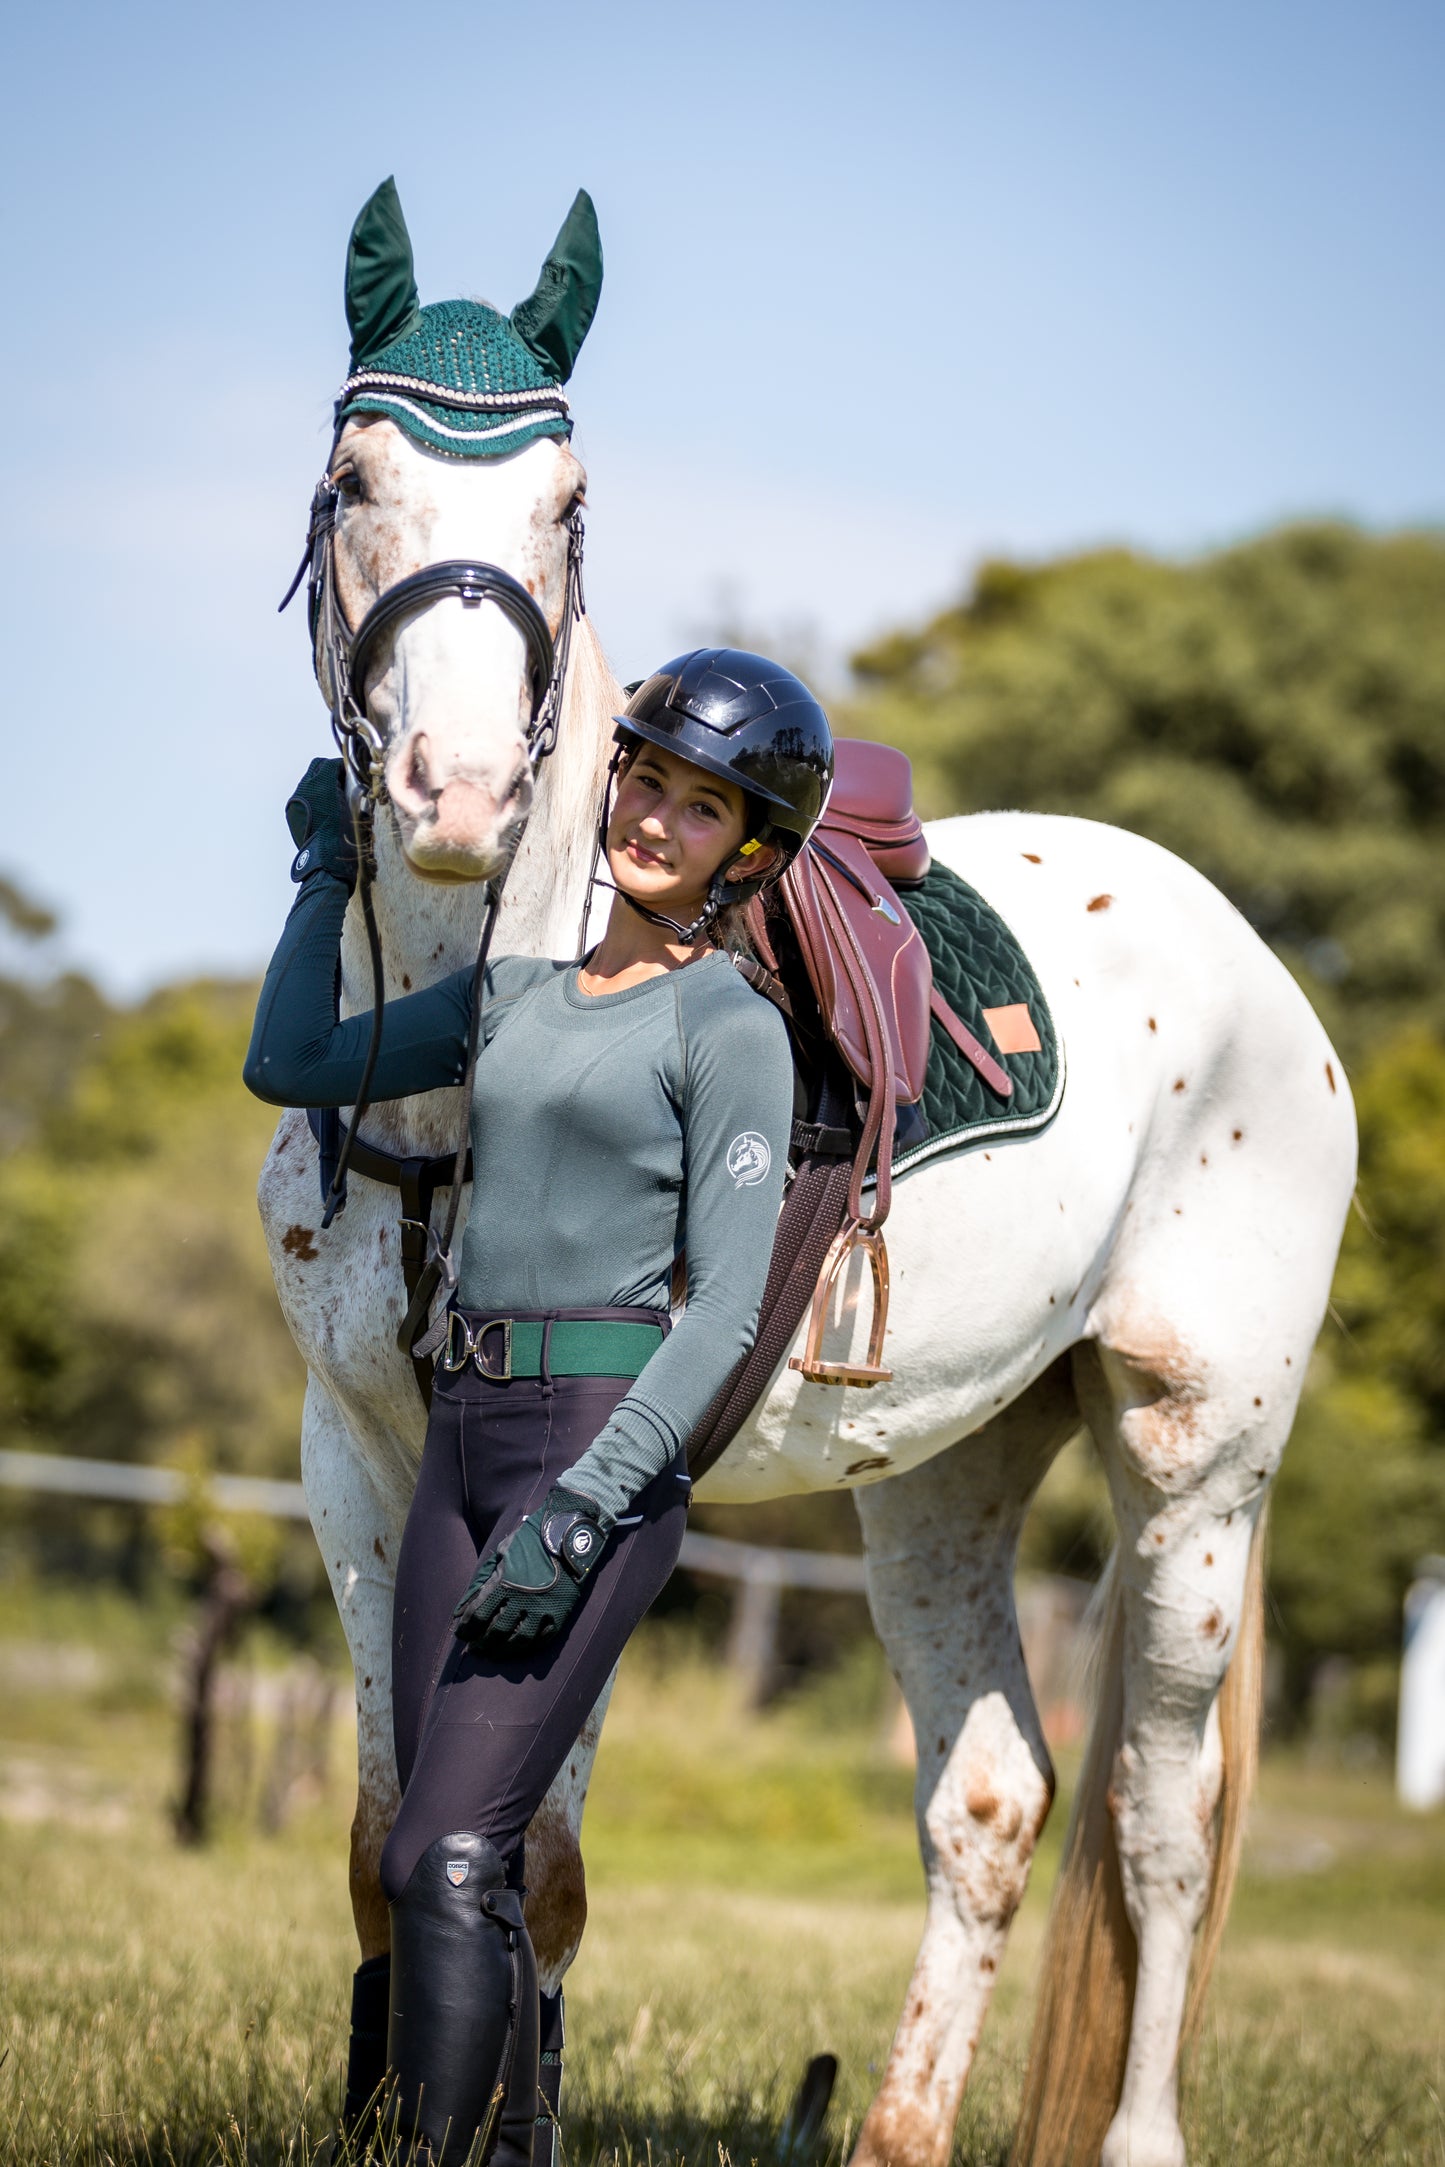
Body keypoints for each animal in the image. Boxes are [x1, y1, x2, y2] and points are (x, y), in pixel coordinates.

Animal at [256, 219, 1360, 2167]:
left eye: (569, 502)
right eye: (353, 478)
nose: (458, 794)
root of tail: (1261, 976)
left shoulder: (594, 1494)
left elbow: (534, 1865)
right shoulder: (354, 1456)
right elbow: (385, 1842)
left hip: (1195, 1470)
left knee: (1159, 1819)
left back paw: (1137, 2131)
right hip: (943, 1477)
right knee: (993, 1797)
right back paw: (899, 2130)